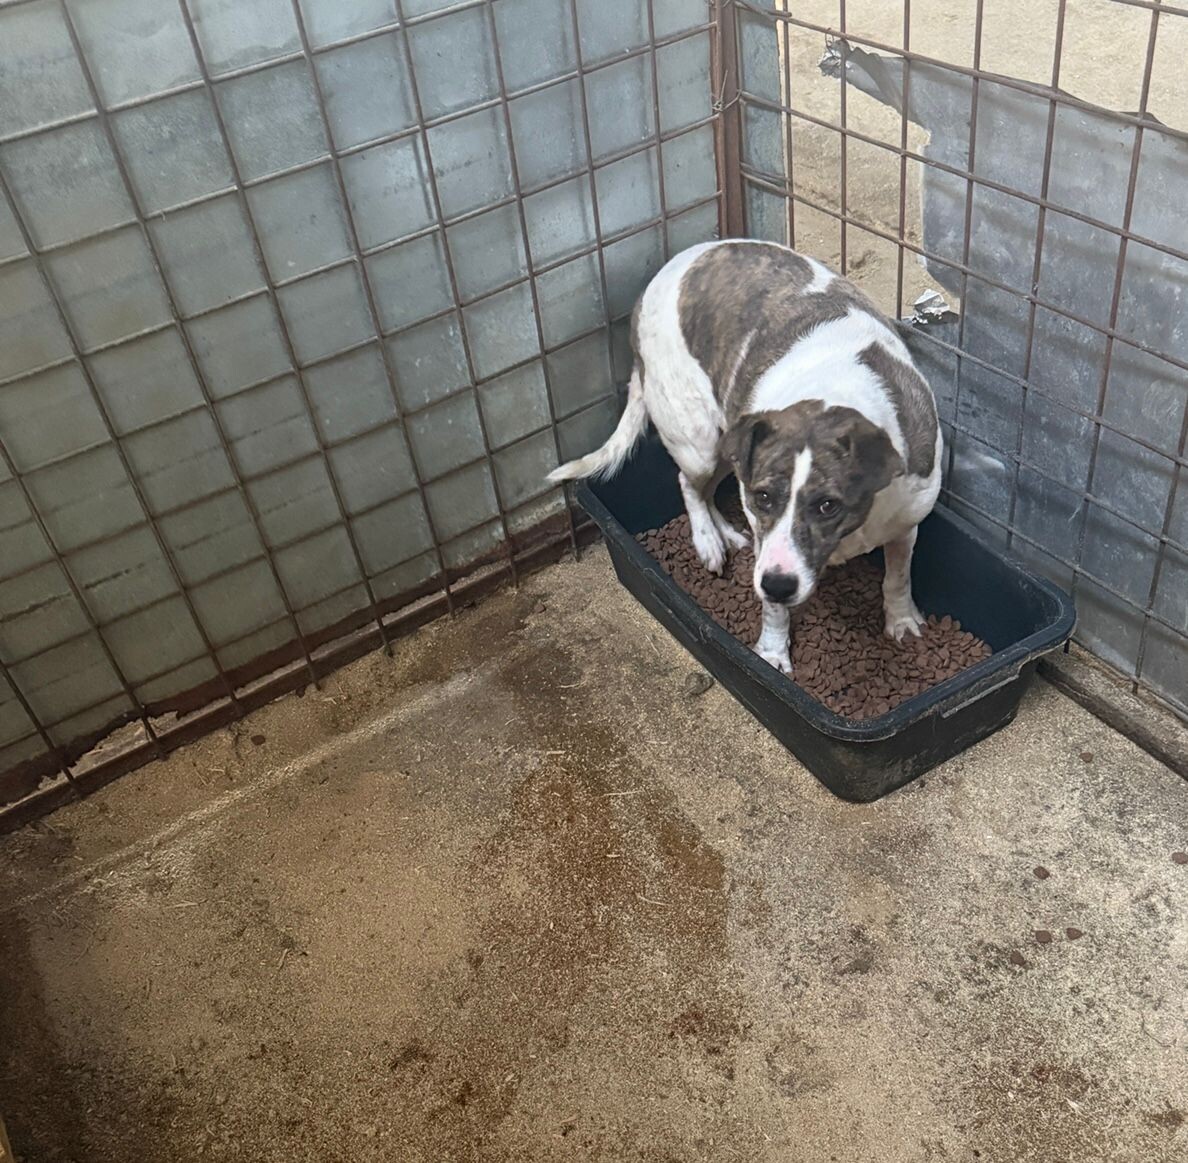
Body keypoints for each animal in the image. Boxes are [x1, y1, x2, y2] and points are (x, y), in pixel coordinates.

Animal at [548, 239, 942, 675]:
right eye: (764, 497)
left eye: (828, 505)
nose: (777, 585)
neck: (837, 391)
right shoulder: (764, 535)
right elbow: (775, 611)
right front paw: (772, 654)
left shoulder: (906, 523)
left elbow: (898, 577)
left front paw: (902, 620)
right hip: (699, 439)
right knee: (689, 483)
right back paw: (708, 540)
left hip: (729, 443)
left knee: (709, 489)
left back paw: (726, 533)